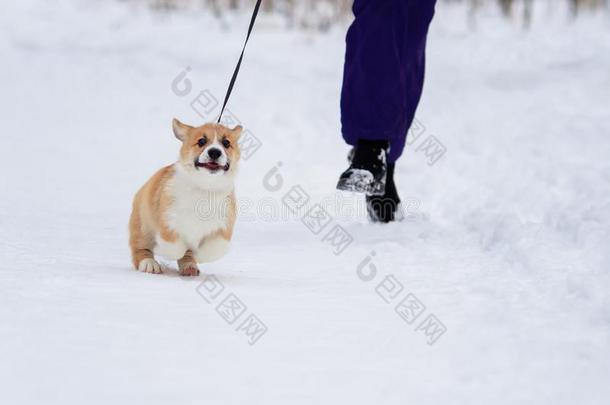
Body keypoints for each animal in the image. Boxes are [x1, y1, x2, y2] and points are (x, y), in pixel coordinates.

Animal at [127, 117, 241, 274]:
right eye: (201, 141)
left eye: (226, 143)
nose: (214, 152)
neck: (204, 186)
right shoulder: (168, 221)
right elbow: (174, 246)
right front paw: (165, 250)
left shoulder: (224, 227)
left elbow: (215, 249)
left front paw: (198, 256)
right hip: (142, 225)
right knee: (140, 247)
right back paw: (149, 263)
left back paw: (189, 266)